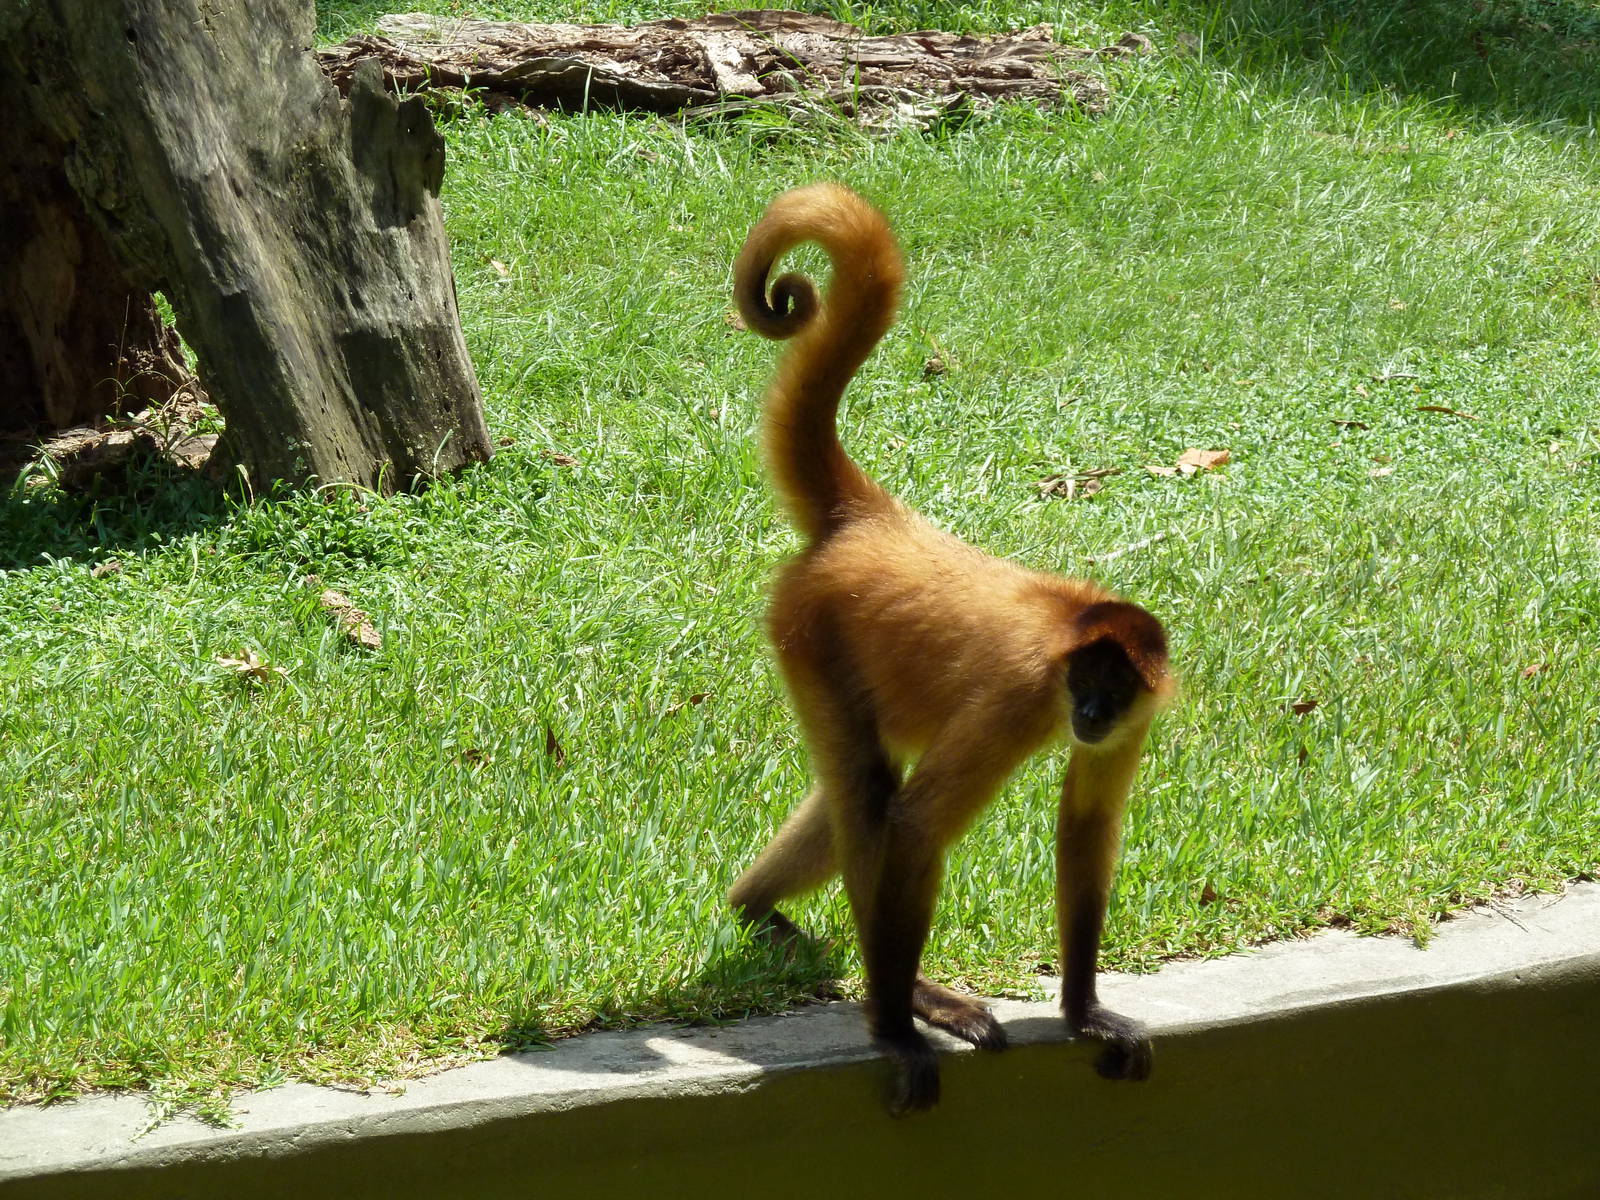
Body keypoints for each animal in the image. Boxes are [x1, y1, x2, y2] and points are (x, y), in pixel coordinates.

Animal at [726, 183, 1175, 1116]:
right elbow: (915, 823)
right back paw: (896, 1003)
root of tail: (875, 520)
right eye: (1084, 679)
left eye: (1113, 690)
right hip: (810, 634)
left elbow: (1086, 825)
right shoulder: (1018, 693)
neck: (1069, 637)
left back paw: (757, 911)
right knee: (871, 796)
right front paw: (898, 1032)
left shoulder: (1136, 719)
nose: (1087, 711)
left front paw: (1083, 1012)